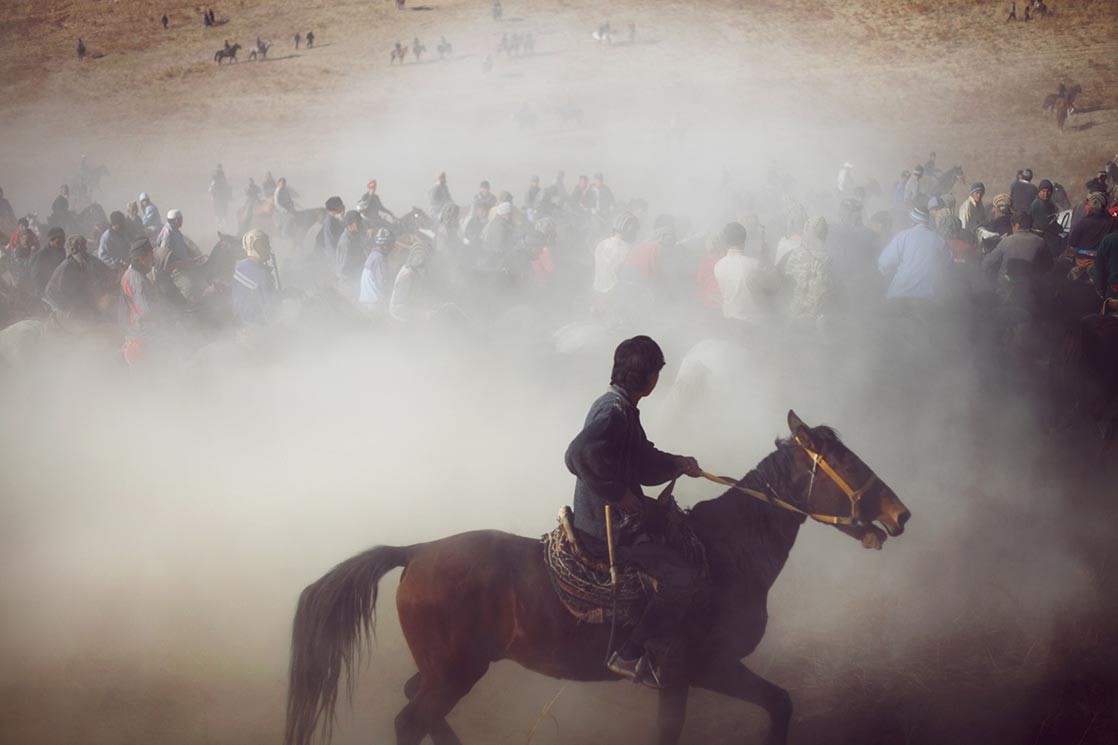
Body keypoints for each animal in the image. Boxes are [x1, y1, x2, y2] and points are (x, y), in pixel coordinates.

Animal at [283, 409, 912, 742]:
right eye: (846, 461)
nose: (899, 514)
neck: (724, 552)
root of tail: (416, 551)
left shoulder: (687, 678)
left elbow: (779, 703)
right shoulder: (700, 668)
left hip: (451, 670)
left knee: (419, 705)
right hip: (456, 672)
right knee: (410, 719)